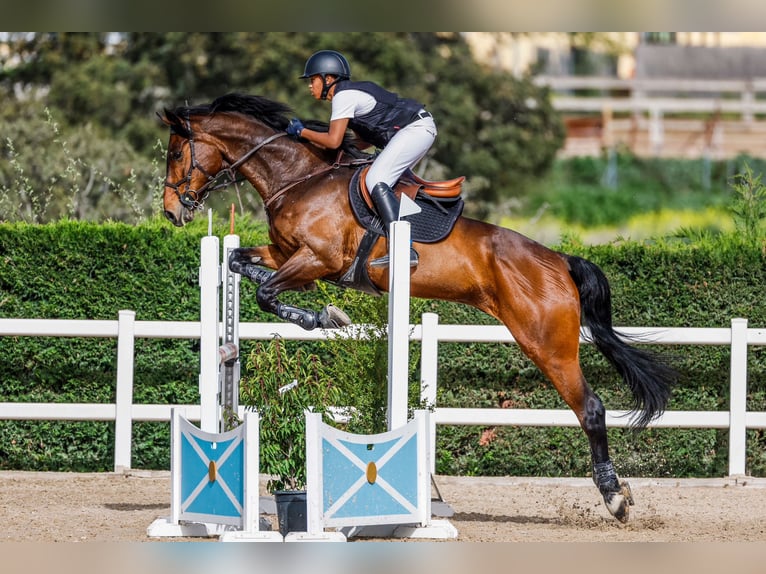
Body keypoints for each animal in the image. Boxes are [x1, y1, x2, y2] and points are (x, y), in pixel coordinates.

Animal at [160, 92, 677, 523]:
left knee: (590, 408)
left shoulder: (317, 259)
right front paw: (316, 312)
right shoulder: (285, 254)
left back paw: (614, 497)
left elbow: (268, 294)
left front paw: (322, 317)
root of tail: (559, 261)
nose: (172, 210)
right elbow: (238, 263)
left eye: (176, 153)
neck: (298, 178)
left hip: (547, 344)